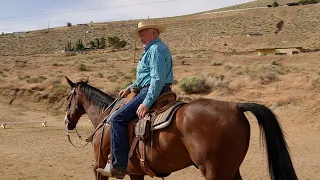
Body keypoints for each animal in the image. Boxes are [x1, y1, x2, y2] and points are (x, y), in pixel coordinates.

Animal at [63, 76, 298, 180]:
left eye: (68, 97)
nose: (67, 122)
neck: (106, 117)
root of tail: (236, 107)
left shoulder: (100, 165)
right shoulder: (136, 173)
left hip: (215, 172)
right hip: (231, 169)